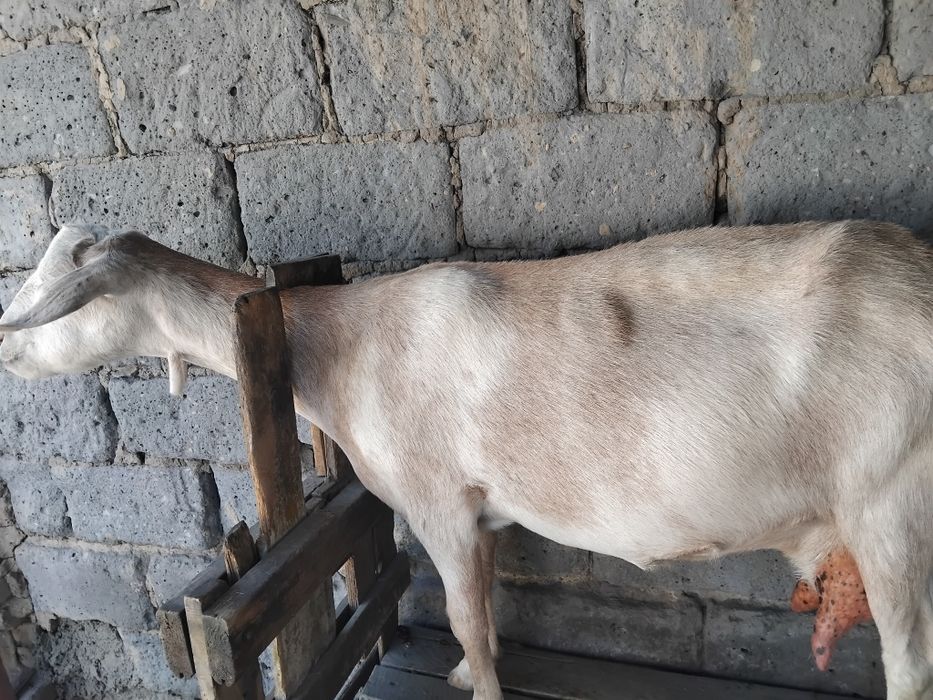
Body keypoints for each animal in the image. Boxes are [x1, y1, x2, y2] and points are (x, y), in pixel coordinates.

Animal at [1, 221, 932, 700]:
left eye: (61, 298)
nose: (6, 352)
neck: (337, 343)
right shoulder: (480, 510)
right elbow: (479, 606)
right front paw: (458, 674)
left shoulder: (436, 500)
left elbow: (464, 614)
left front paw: (475, 684)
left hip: (893, 507)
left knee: (909, 663)